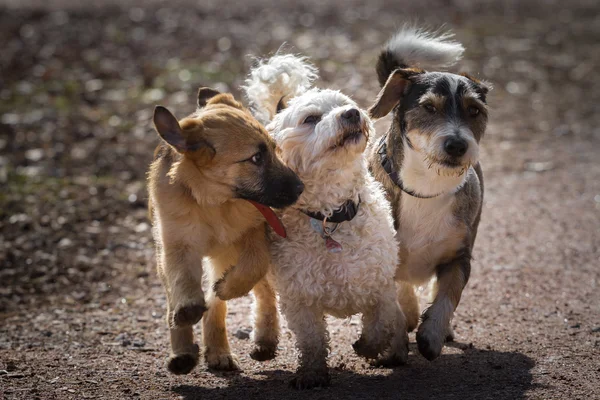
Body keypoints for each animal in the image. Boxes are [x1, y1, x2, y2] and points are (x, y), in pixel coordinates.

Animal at [148, 87, 302, 376]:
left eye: (274, 150)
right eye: (256, 158)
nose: (301, 188)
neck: (213, 203)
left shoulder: (252, 232)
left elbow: (252, 267)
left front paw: (227, 289)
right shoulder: (176, 244)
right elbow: (182, 281)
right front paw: (186, 314)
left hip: (225, 255)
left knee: (257, 293)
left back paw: (250, 342)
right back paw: (187, 351)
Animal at [244, 54, 408, 390]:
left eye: (345, 104)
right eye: (310, 119)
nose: (352, 113)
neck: (332, 216)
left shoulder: (381, 286)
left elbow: (380, 323)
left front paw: (369, 346)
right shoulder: (300, 300)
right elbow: (311, 341)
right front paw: (312, 374)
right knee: (264, 302)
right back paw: (264, 342)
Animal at [368, 26, 490, 360]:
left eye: (474, 110)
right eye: (429, 107)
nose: (457, 145)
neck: (426, 188)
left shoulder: (460, 257)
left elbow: (448, 295)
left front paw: (433, 334)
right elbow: (395, 300)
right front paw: (396, 343)